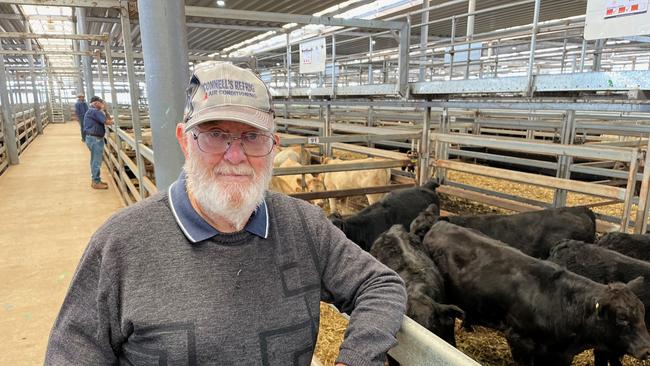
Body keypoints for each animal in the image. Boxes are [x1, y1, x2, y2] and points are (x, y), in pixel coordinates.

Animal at [420, 222, 648, 364]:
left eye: (643, 314)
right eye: (622, 318)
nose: (647, 349)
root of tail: (440, 225)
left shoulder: (561, 356)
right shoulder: (519, 339)